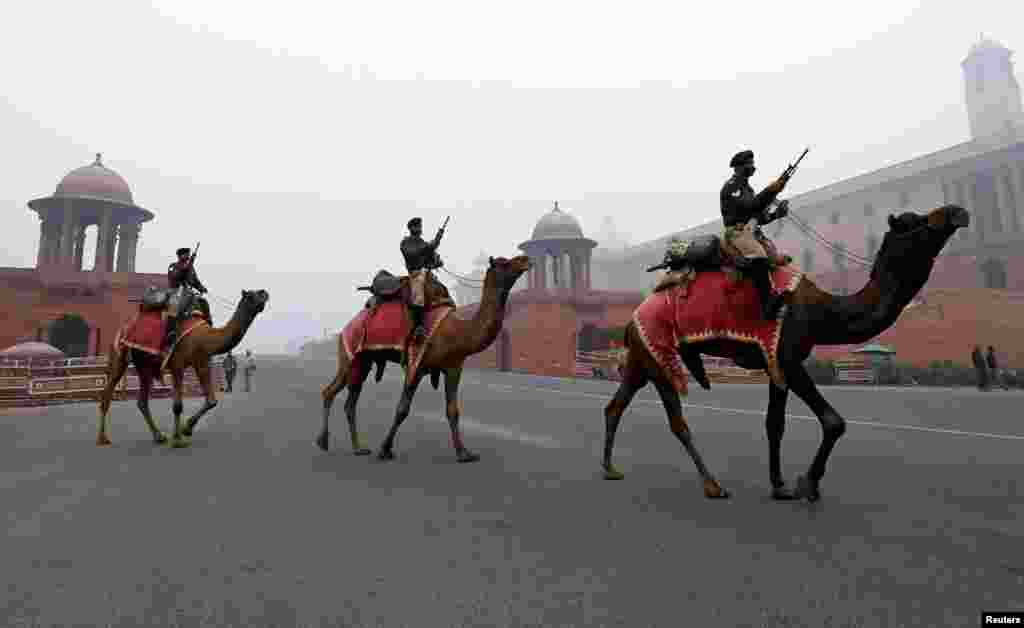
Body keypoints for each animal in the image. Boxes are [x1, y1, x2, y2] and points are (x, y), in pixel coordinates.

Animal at [96, 288, 270, 446]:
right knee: (107, 394)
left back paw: (159, 436)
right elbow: (178, 405)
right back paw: (102, 438)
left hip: (145, 367)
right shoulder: (178, 365)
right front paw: (179, 438)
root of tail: (123, 328)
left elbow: (211, 400)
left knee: (142, 401)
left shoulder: (202, 362)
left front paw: (185, 429)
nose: (264, 292)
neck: (207, 338)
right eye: (251, 295)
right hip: (119, 355)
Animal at [315, 253, 532, 461]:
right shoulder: (416, 364)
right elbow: (402, 409)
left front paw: (464, 453)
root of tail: (346, 328)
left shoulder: (454, 367)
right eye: (504, 263)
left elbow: (453, 410)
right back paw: (324, 441)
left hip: (363, 361)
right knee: (332, 391)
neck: (458, 331)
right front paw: (385, 449)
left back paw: (358, 448)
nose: (525, 260)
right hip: (349, 353)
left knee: (348, 401)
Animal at [598, 202, 966, 501]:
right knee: (676, 420)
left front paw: (779, 485)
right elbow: (833, 421)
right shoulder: (788, 356)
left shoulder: (775, 359)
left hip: (640, 356)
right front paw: (808, 484)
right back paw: (713, 485)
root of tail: (632, 319)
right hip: (657, 349)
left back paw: (610, 468)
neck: (822, 311)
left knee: (615, 406)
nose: (956, 211)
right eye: (913, 221)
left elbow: (775, 423)